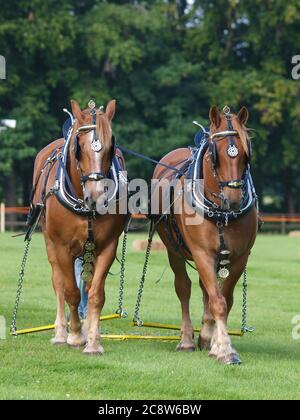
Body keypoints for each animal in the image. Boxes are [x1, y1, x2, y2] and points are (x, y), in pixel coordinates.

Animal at [31, 99, 126, 354]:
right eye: (79, 146)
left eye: (111, 147)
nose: (97, 197)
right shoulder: (62, 247)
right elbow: (70, 292)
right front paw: (74, 335)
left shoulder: (107, 246)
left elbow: (95, 294)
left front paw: (92, 341)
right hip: (50, 241)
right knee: (58, 283)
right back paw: (61, 333)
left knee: (86, 284)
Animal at [152, 106, 258, 364]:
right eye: (214, 154)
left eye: (246, 154)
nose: (233, 199)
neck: (222, 212)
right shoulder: (202, 254)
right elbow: (217, 301)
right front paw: (225, 351)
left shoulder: (240, 257)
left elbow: (224, 299)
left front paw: (215, 342)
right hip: (174, 251)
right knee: (184, 287)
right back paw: (187, 340)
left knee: (205, 291)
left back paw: (206, 336)